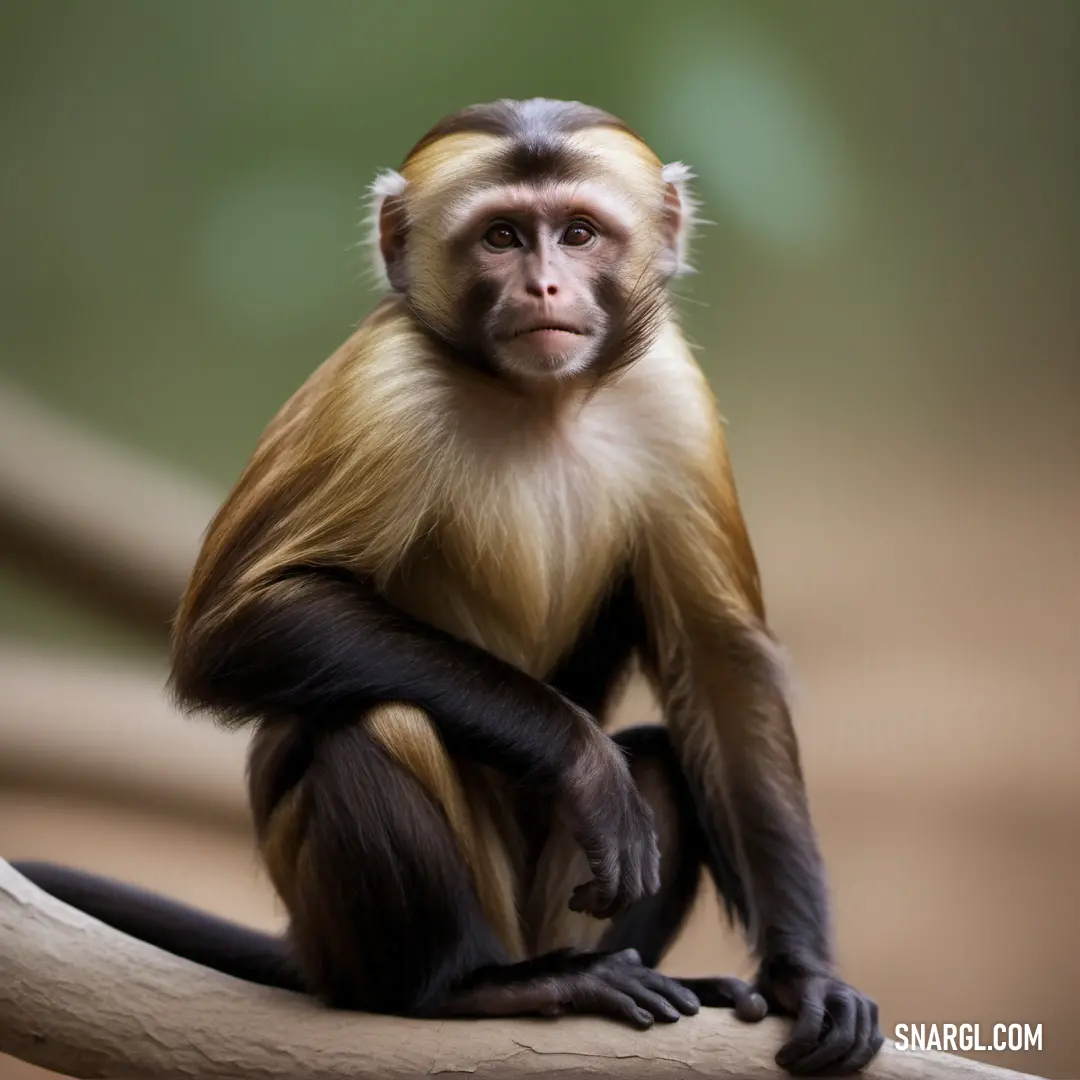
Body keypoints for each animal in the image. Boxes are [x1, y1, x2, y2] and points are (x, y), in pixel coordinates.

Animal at [10, 99, 885, 1071]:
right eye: (502, 237)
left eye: (579, 234)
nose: (545, 287)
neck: (537, 401)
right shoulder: (380, 391)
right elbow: (232, 627)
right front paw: (583, 762)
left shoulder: (670, 392)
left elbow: (721, 667)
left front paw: (804, 975)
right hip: (342, 925)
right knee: (377, 722)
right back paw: (470, 989)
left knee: (657, 754)